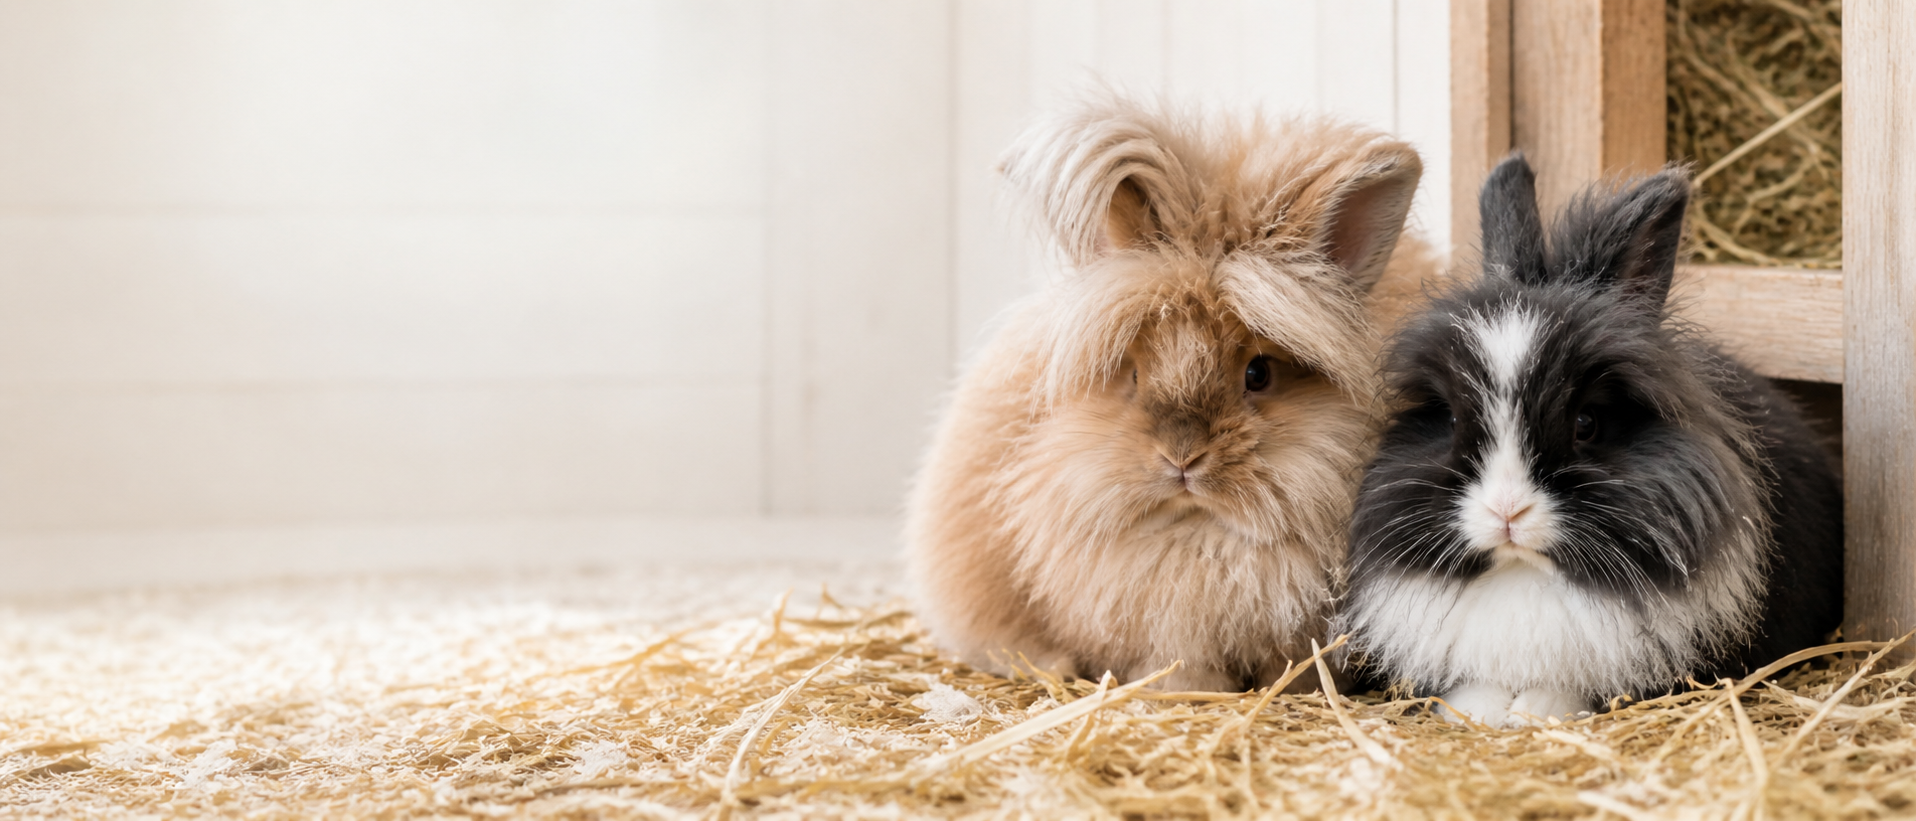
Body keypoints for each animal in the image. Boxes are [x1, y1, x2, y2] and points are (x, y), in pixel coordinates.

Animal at [904, 93, 1441, 693]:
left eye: (1259, 373)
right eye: (1134, 374)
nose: (1181, 457)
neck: (1201, 536)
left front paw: (1295, 688)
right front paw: (1184, 690)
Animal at [1335, 154, 1844, 726]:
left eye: (1586, 423)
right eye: (1448, 420)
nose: (1506, 511)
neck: (1525, 574)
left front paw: (1534, 710)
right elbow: (1473, 688)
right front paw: (1483, 712)